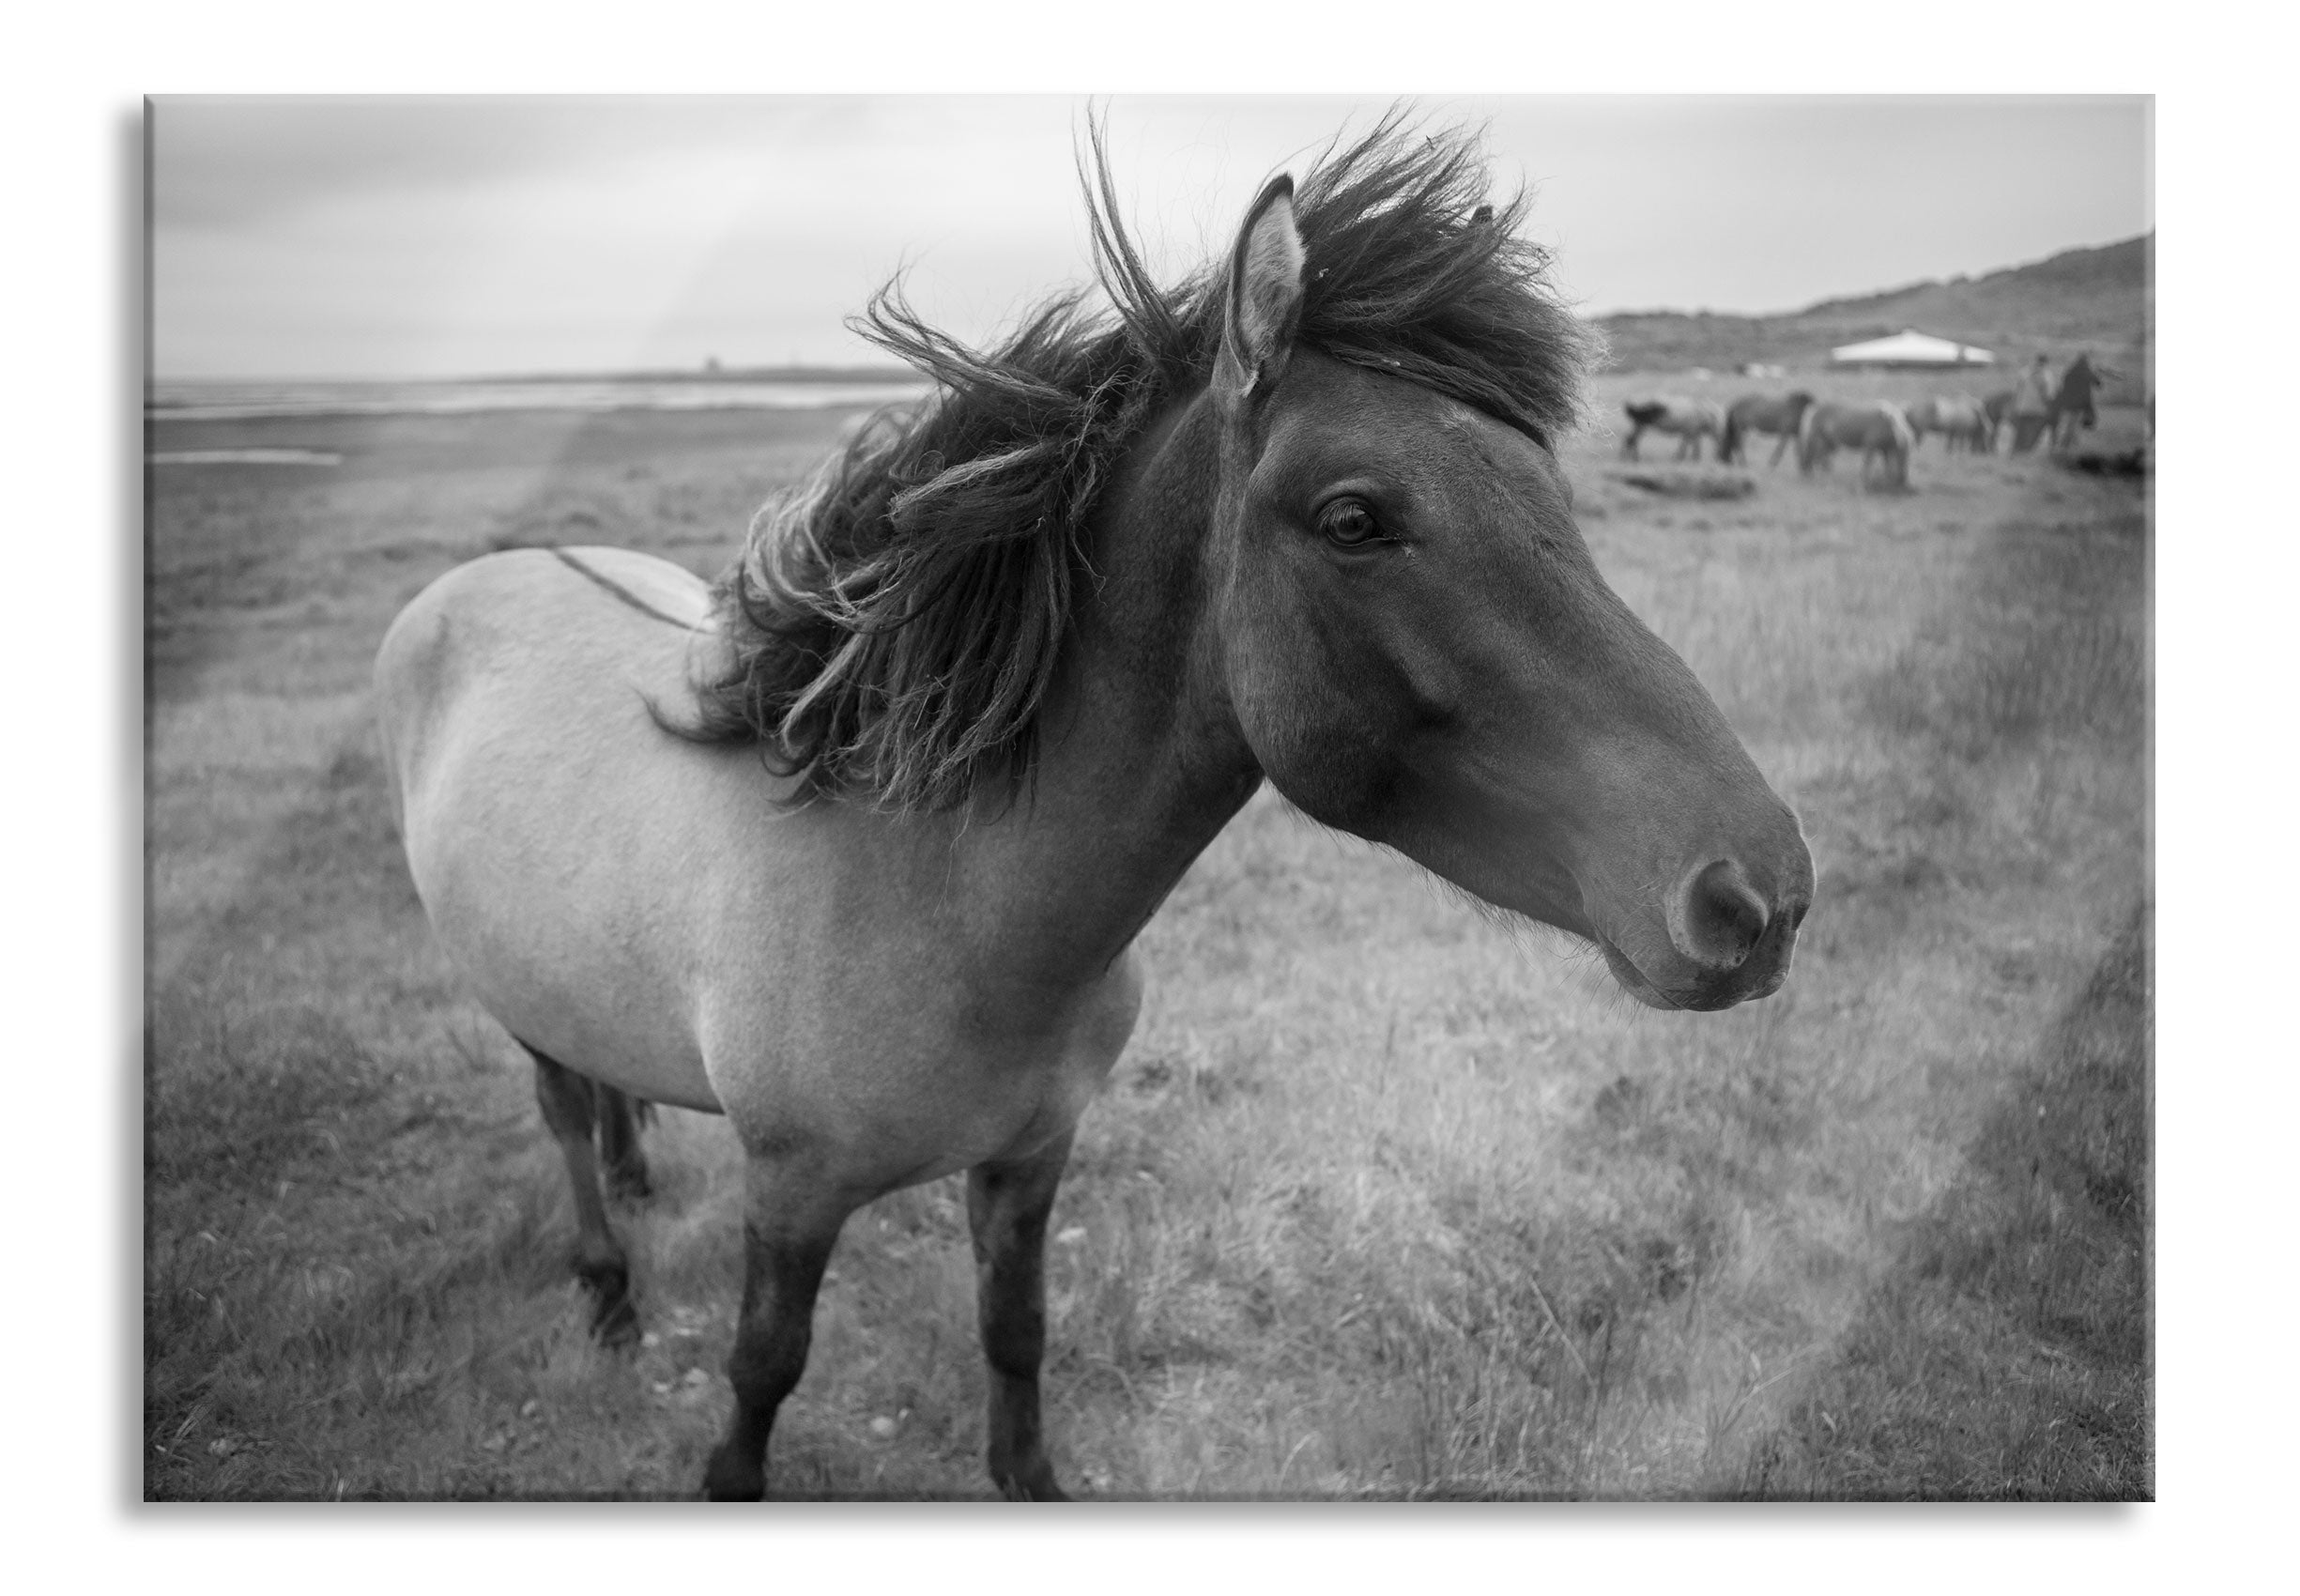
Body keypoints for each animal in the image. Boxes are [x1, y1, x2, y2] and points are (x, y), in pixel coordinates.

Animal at [372, 118, 1812, 1508]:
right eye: (1355, 517)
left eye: (1554, 492)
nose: (1757, 894)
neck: (933, 897)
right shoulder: (790, 1192)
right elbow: (760, 1374)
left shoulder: (1031, 1159)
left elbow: (1015, 1335)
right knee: (560, 1112)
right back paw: (606, 1284)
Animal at [1794, 397, 1923, 487]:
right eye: (1903, 450)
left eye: (1910, 449)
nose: (1902, 481)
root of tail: (1813, 407)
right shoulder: (1870, 445)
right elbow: (1867, 464)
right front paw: (1864, 484)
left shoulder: (1884, 448)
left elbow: (1888, 467)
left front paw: (1887, 481)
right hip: (1816, 438)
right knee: (1814, 458)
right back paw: (1816, 478)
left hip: (1828, 441)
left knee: (1821, 459)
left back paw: (1823, 477)